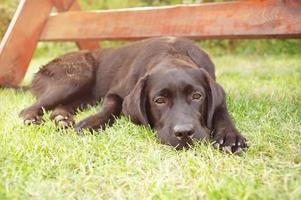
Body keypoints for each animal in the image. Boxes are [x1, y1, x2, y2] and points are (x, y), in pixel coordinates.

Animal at [20, 36, 246, 152]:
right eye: (159, 100)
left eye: (197, 96)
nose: (184, 134)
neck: (171, 54)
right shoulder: (115, 92)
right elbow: (111, 107)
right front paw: (91, 123)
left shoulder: (216, 92)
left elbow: (221, 111)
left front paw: (230, 136)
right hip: (78, 75)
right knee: (29, 108)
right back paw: (32, 119)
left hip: (85, 94)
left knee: (62, 106)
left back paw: (62, 118)